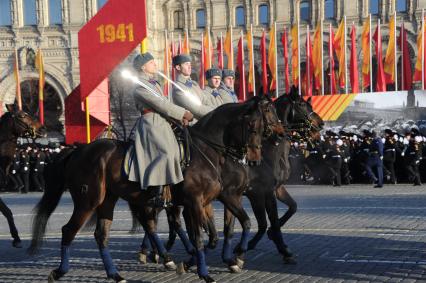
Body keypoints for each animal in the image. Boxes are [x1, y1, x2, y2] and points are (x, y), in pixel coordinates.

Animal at [30, 96, 282, 283]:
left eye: (263, 123)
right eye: (253, 125)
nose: (255, 157)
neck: (207, 153)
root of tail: (79, 150)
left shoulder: (212, 200)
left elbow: (224, 230)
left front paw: (209, 261)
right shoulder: (197, 201)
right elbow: (201, 236)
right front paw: (206, 270)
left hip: (109, 201)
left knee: (104, 235)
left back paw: (117, 273)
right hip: (88, 201)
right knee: (69, 230)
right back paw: (60, 271)